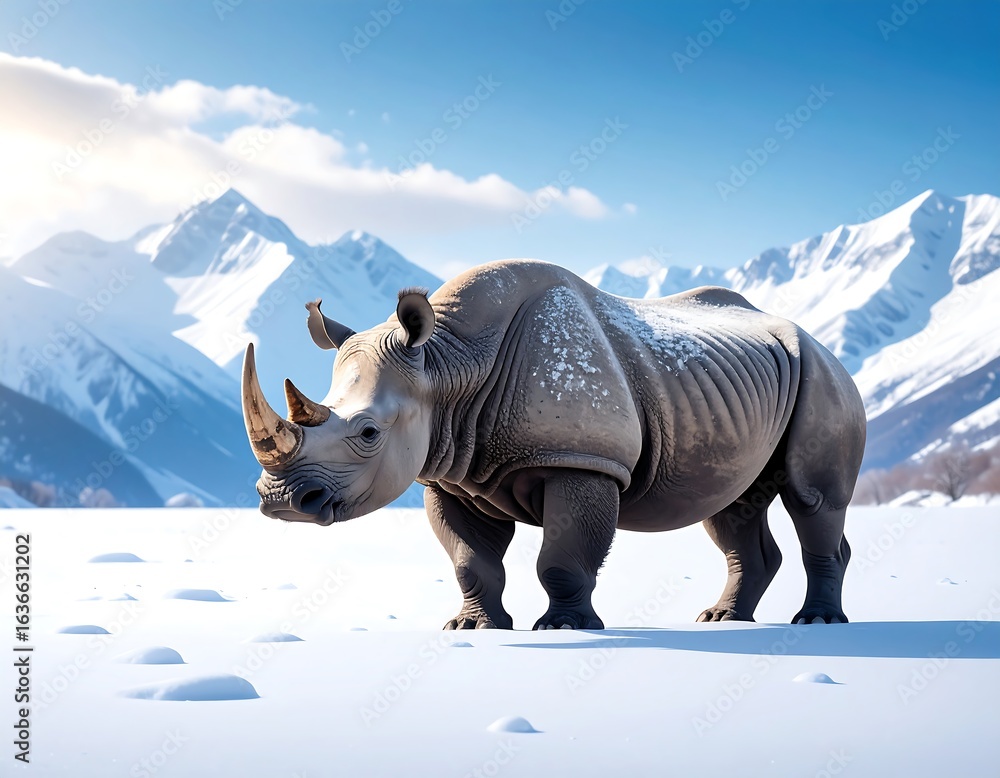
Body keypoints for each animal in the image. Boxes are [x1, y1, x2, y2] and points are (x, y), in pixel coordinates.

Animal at [243, 260, 866, 629]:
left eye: (368, 433)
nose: (281, 502)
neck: (447, 366)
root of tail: (818, 342)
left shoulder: (583, 462)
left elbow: (563, 558)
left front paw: (565, 627)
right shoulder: (449, 471)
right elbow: (470, 561)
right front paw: (473, 628)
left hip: (825, 376)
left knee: (812, 499)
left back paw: (815, 623)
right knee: (729, 506)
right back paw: (722, 620)